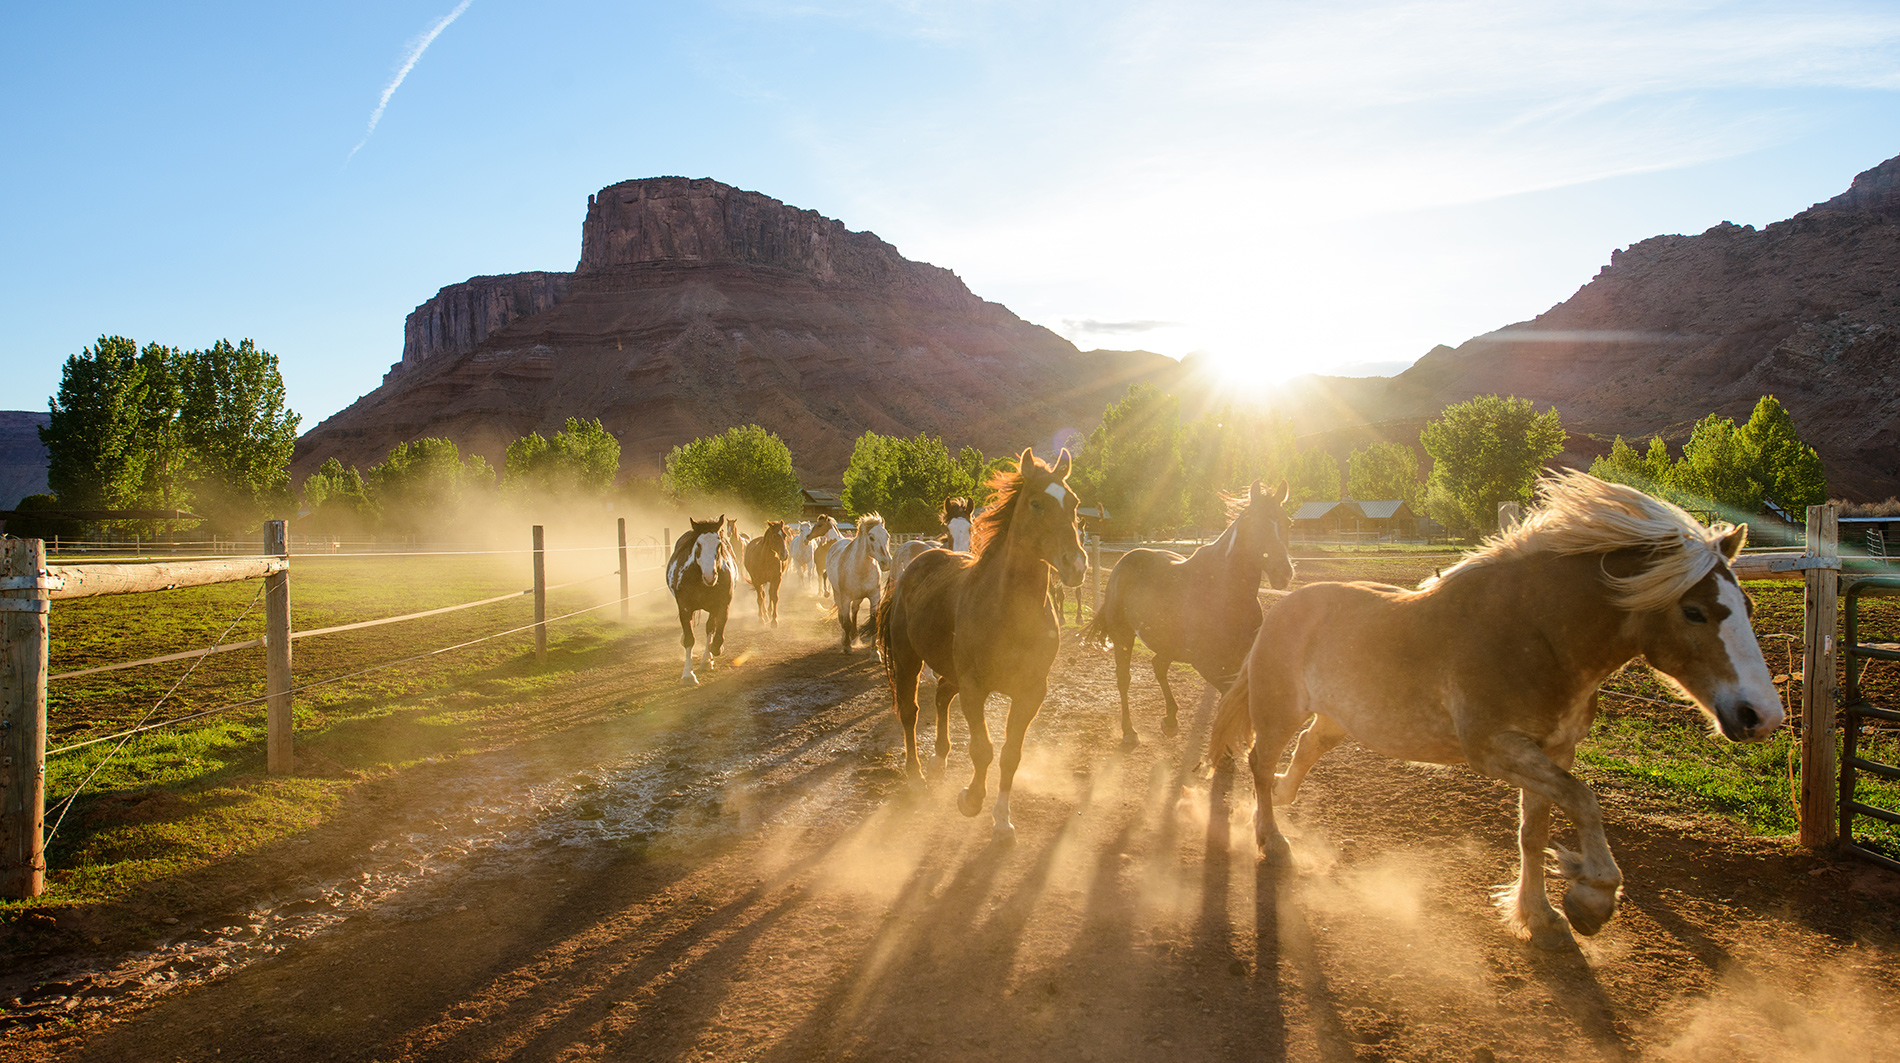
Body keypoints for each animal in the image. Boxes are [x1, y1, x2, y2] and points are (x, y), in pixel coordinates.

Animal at [661, 517, 733, 684]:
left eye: (719, 544)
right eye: (699, 545)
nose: (709, 576)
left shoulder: (722, 605)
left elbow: (717, 633)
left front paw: (714, 651)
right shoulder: (684, 608)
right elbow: (689, 639)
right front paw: (688, 674)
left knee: (710, 628)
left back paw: (707, 660)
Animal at [828, 513, 893, 654]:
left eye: (887, 536)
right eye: (871, 537)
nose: (886, 563)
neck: (860, 568)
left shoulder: (874, 596)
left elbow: (874, 621)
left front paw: (875, 651)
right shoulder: (845, 599)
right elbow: (846, 622)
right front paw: (847, 647)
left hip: (858, 598)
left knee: (854, 611)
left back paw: (854, 636)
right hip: (837, 595)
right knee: (842, 616)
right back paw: (845, 639)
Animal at [881, 446, 1094, 840]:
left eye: (1074, 503)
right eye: (1036, 503)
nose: (1076, 565)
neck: (1006, 609)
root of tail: (917, 561)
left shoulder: (1031, 692)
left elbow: (1011, 754)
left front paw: (1002, 819)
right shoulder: (975, 688)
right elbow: (983, 749)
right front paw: (971, 799)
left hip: (949, 670)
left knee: (941, 697)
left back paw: (939, 759)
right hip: (908, 660)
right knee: (910, 712)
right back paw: (916, 776)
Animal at [1086, 483, 1292, 749]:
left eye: (1288, 522)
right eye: (1254, 523)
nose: (1283, 573)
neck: (1225, 592)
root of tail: (1124, 561)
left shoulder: (1239, 660)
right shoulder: (1206, 664)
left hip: (1167, 642)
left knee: (1158, 666)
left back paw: (1170, 721)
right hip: (1123, 636)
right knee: (1124, 678)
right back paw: (1130, 731)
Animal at [1208, 473, 1786, 947]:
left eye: (1748, 607)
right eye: (1694, 611)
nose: (1762, 715)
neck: (1536, 635)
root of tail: (1283, 605)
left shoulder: (1554, 749)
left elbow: (1536, 829)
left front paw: (1539, 914)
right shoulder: (1493, 747)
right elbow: (1585, 802)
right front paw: (1592, 897)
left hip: (1335, 720)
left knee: (1300, 755)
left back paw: (1279, 806)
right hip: (1280, 710)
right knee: (1259, 761)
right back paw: (1272, 840)